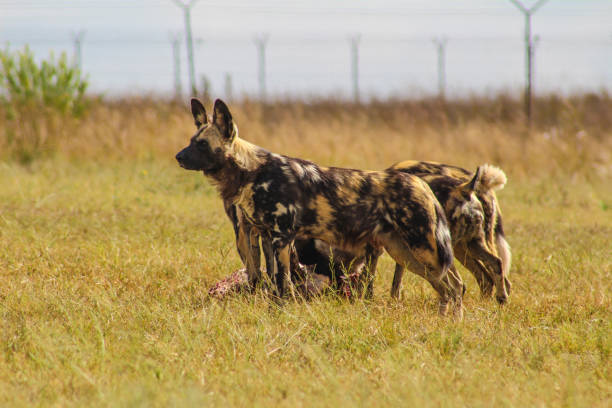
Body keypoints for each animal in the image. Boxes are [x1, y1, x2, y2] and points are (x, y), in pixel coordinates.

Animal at [175, 99, 462, 316]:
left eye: (202, 144)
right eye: (190, 140)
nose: (178, 157)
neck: (252, 171)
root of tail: (421, 183)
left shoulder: (281, 238)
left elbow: (282, 283)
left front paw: (281, 312)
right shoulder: (266, 238)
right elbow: (269, 281)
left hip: (424, 251)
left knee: (456, 287)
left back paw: (452, 324)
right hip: (407, 255)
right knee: (448, 289)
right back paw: (444, 322)